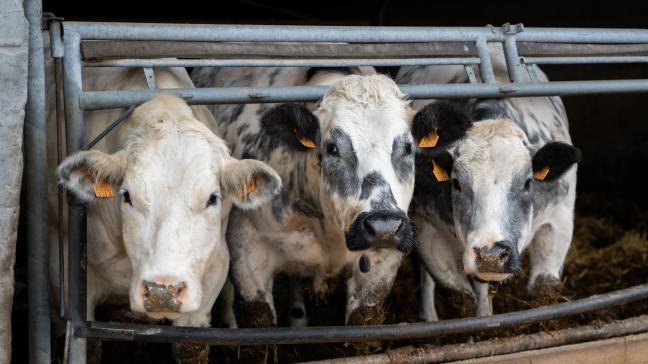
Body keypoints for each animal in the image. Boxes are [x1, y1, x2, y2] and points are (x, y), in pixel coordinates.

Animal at [398, 46, 580, 322]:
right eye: (456, 183)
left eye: (528, 183)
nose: (491, 256)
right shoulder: (425, 225)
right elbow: (460, 297)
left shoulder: (558, 217)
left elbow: (543, 292)